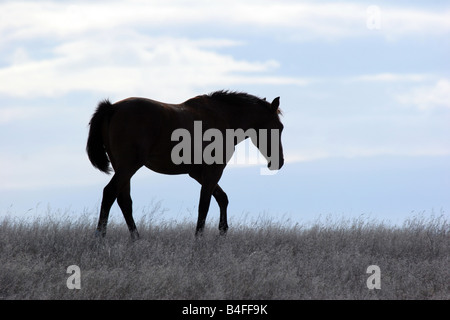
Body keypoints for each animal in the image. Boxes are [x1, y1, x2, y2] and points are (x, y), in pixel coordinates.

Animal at [86, 89, 284, 239]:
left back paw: (136, 239)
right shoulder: (213, 171)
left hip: (122, 167)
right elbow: (204, 205)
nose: (279, 162)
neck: (223, 118)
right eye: (279, 128)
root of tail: (112, 108)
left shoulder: (197, 173)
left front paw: (222, 231)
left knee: (124, 201)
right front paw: (199, 239)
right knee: (110, 193)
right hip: (129, 166)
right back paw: (100, 237)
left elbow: (222, 198)